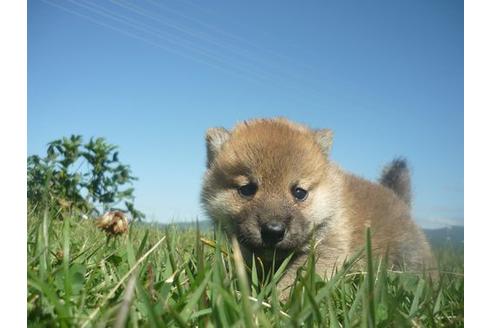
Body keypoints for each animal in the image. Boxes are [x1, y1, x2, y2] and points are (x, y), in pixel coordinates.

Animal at [200, 118, 434, 298]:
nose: (273, 231)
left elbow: (292, 281)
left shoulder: (326, 250)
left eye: (299, 192)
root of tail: (398, 199)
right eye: (247, 189)